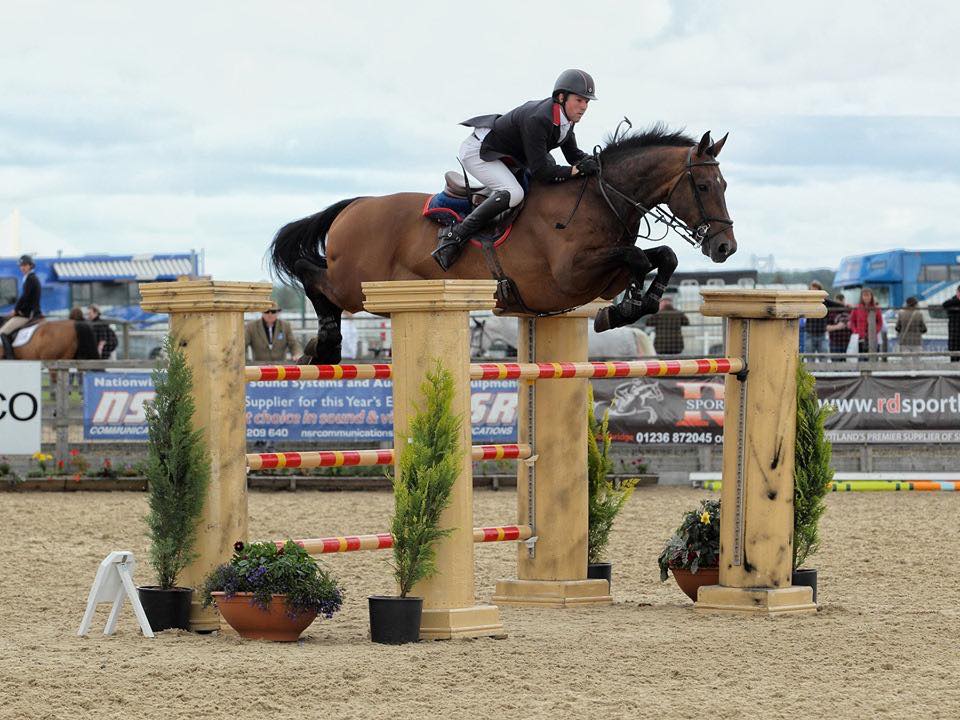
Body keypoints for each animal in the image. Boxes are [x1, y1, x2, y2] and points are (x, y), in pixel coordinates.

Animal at [270, 125, 736, 366]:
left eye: (725, 184)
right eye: (703, 185)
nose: (725, 248)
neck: (602, 198)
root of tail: (356, 205)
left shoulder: (603, 276)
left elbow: (661, 257)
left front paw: (631, 306)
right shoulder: (571, 274)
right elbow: (639, 256)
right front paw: (626, 307)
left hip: (383, 294)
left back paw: (318, 349)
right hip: (355, 283)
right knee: (312, 276)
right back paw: (324, 345)